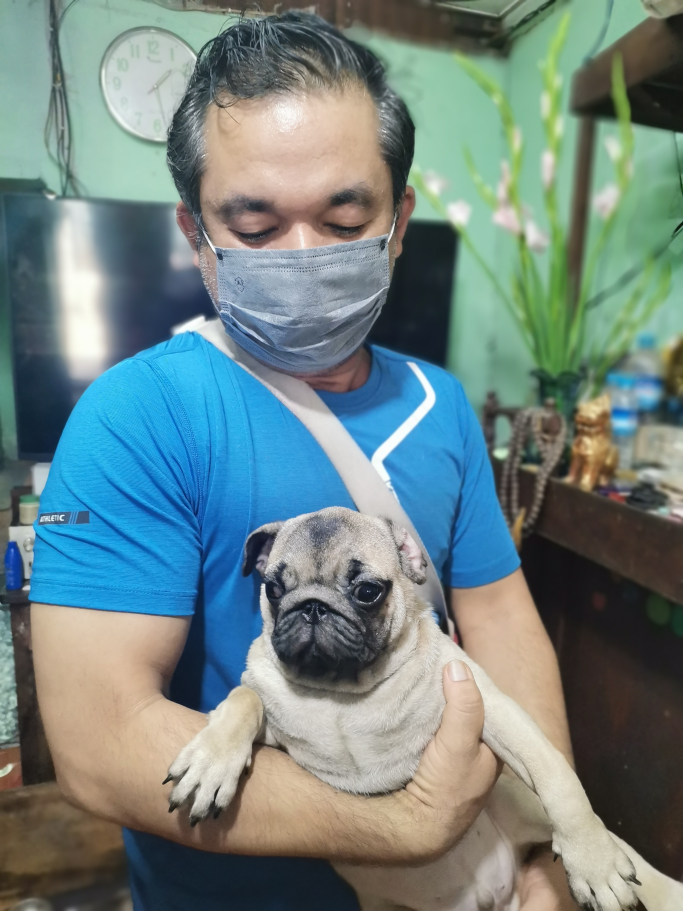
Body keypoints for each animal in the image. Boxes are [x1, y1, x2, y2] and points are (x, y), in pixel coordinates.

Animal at [166, 507, 683, 911]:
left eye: (367, 591)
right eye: (273, 590)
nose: (312, 606)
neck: (343, 697)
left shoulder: (494, 709)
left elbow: (559, 779)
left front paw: (594, 865)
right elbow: (244, 698)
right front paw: (211, 761)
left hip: (526, 809)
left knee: (624, 849)